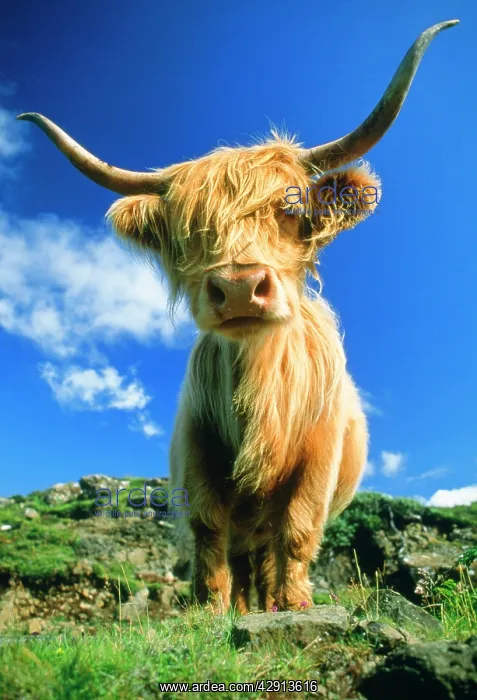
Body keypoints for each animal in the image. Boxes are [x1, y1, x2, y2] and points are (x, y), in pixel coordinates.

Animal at [18, 20, 458, 614]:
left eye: (291, 210)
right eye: (187, 231)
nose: (239, 287)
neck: (261, 395)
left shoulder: (317, 460)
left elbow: (298, 529)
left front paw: (296, 605)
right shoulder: (197, 454)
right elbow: (208, 532)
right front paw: (209, 610)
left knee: (269, 549)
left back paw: (273, 603)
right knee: (243, 555)